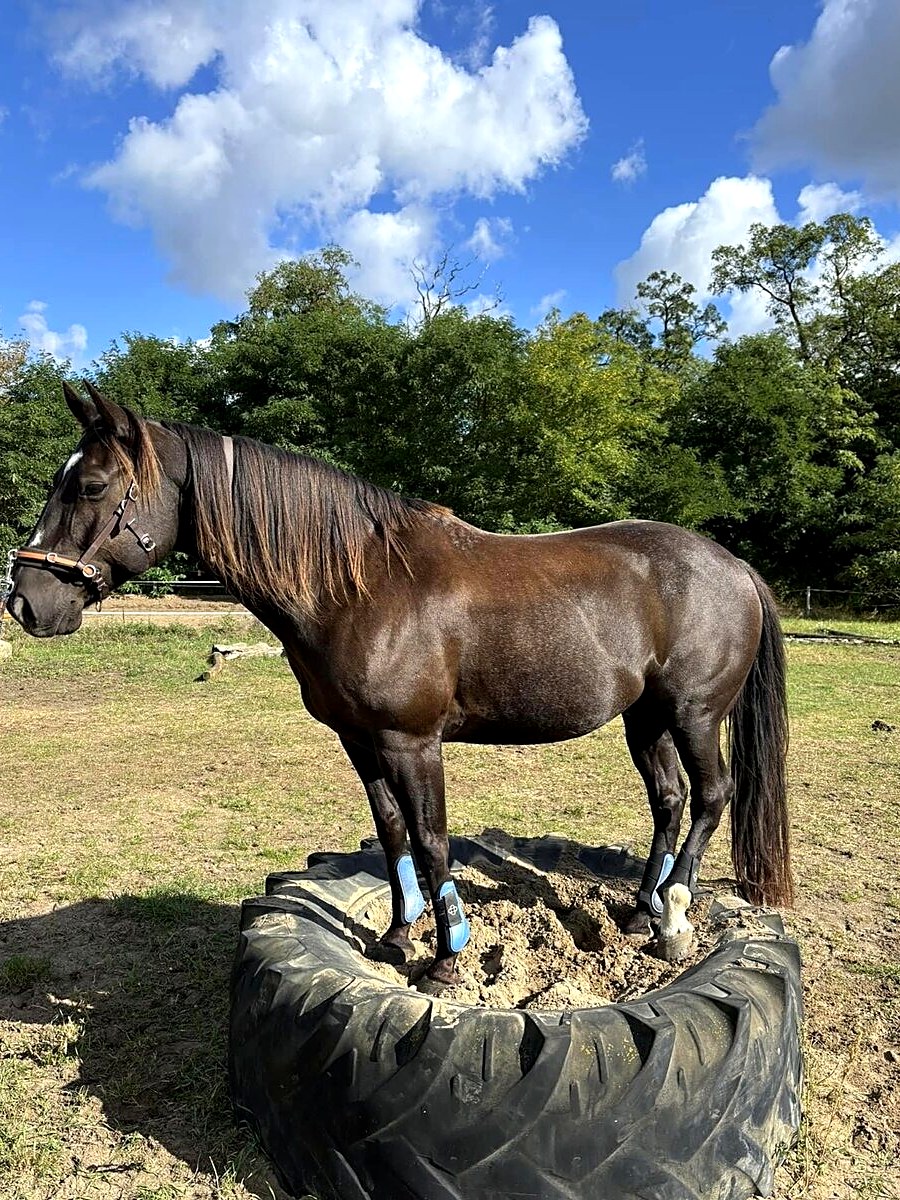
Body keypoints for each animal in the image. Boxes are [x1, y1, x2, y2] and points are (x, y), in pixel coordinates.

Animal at [5, 382, 792, 989]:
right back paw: (638, 911)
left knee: (711, 796)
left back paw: (675, 917)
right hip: (644, 717)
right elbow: (392, 836)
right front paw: (395, 938)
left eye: (92, 486)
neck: (357, 585)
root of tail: (735, 566)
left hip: (694, 714)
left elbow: (434, 840)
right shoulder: (361, 742)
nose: (26, 602)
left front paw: (446, 960)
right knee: (669, 799)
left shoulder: (414, 743)